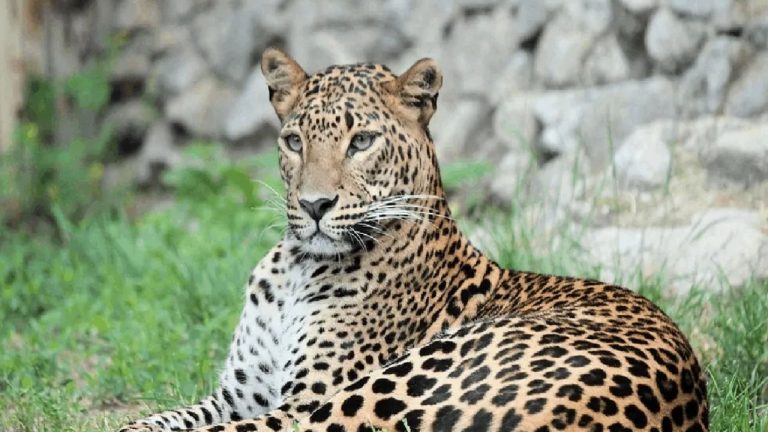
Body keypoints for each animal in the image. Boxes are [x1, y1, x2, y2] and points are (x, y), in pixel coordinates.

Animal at [119, 48, 708, 432]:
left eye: (361, 142)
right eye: (293, 142)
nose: (314, 205)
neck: (297, 269)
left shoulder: (299, 404)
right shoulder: (237, 394)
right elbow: (164, 419)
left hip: (382, 389)